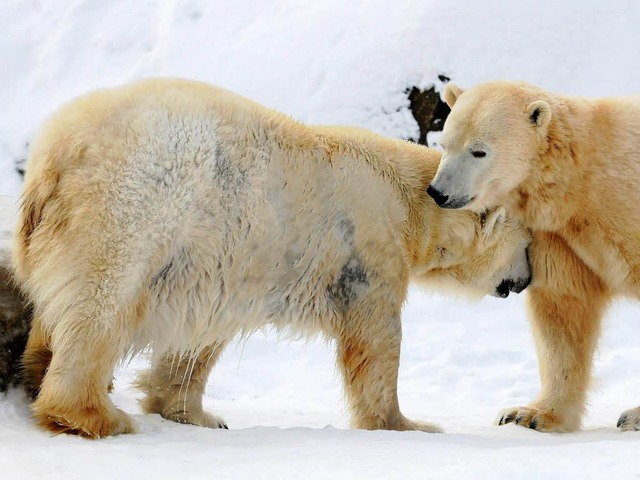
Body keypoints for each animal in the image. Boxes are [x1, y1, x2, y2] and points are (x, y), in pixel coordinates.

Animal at [15, 78, 528, 438]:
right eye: (528, 244)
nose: (525, 280)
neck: (412, 202)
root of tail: (54, 155)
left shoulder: (222, 263)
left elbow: (198, 338)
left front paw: (194, 413)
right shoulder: (368, 244)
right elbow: (376, 336)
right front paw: (408, 423)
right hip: (133, 205)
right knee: (102, 302)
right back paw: (94, 414)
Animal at [428, 80, 640, 434]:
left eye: (479, 151)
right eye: (445, 144)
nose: (439, 192)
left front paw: (634, 415)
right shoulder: (559, 236)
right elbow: (563, 307)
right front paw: (529, 414)